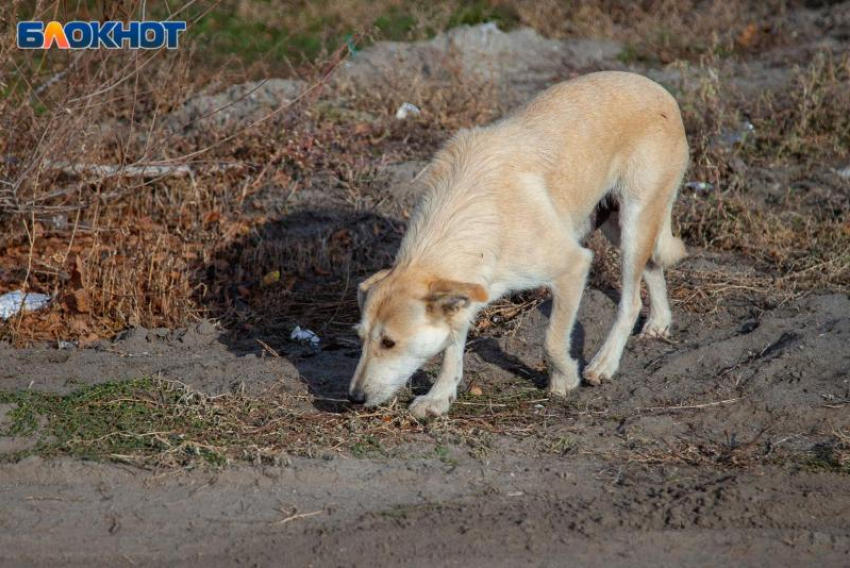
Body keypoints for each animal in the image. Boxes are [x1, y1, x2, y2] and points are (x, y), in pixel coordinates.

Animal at [348, 71, 684, 418]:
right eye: (360, 338)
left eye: (388, 342)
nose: (354, 398)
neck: (475, 210)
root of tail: (656, 88)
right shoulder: (467, 288)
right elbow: (452, 349)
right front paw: (439, 396)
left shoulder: (573, 267)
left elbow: (552, 340)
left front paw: (564, 379)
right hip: (616, 226)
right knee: (653, 266)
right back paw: (659, 322)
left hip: (634, 222)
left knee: (631, 302)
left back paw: (604, 363)